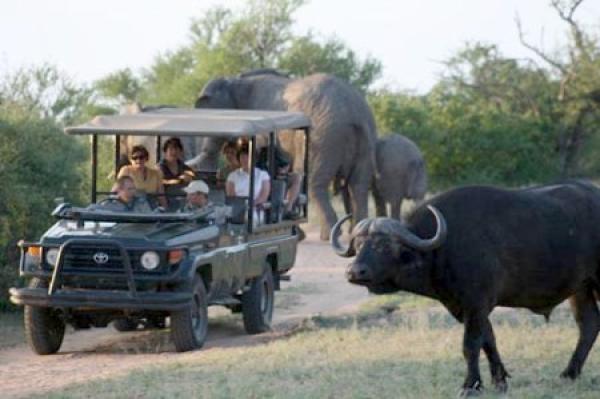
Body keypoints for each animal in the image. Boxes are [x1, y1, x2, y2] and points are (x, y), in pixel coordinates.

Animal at [190, 69, 378, 241]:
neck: (234, 81)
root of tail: (354, 114)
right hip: (364, 138)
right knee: (358, 185)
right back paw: (357, 234)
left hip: (324, 137)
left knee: (313, 184)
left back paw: (330, 236)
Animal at [330, 183, 600, 396]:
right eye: (359, 244)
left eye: (384, 246)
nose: (354, 272)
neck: (443, 248)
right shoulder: (466, 307)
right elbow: (488, 340)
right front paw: (499, 380)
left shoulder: (475, 304)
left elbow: (470, 345)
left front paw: (470, 385)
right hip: (580, 289)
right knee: (588, 325)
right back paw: (569, 373)